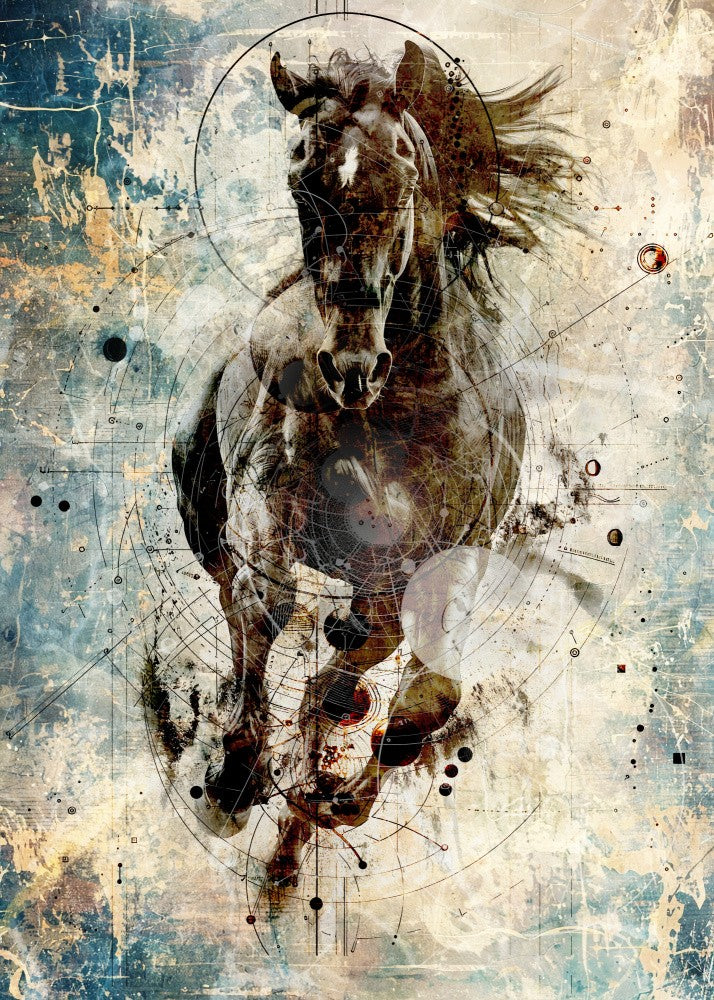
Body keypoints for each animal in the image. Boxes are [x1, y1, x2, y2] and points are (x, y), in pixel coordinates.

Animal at [172, 40, 577, 879]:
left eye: (403, 174)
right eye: (302, 179)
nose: (349, 366)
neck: (391, 409)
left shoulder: (446, 550)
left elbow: (420, 685)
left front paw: (337, 790)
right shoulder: (266, 499)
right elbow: (266, 605)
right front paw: (237, 774)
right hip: (201, 504)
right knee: (234, 594)